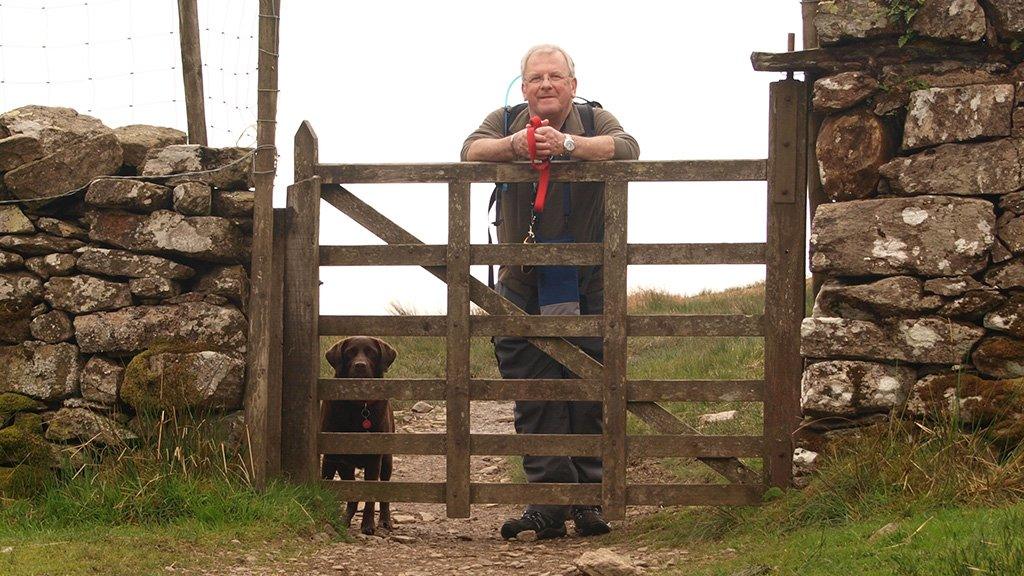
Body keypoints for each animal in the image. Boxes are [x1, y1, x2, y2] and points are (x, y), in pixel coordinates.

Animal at [321, 334, 397, 537]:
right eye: (350, 353)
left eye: (371, 352)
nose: (360, 365)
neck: (358, 406)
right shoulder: (330, 456)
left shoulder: (374, 458)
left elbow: (371, 496)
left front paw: (368, 525)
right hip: (345, 465)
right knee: (353, 495)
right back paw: (345, 519)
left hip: (387, 461)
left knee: (384, 494)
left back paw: (385, 520)